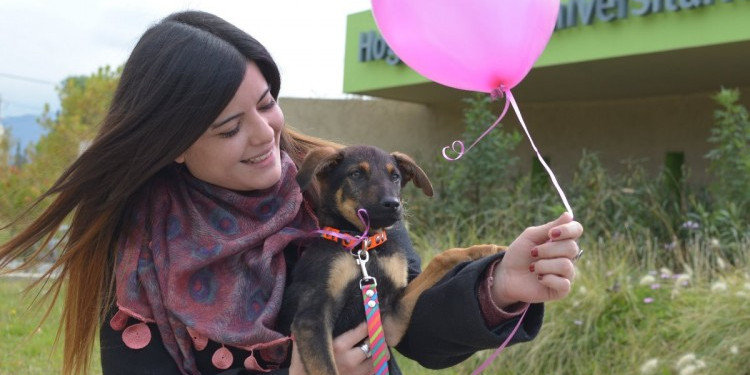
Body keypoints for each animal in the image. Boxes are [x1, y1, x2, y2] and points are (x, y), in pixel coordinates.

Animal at [282, 146, 506, 375]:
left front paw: (486, 249)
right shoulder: (311, 319)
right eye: (356, 174)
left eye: (395, 177)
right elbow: (328, 369)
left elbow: (441, 258)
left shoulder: (390, 319)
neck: (364, 245)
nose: (393, 204)